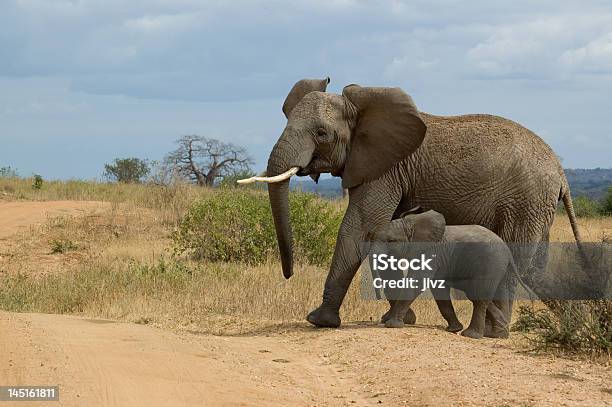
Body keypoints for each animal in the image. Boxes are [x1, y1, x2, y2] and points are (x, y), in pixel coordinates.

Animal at [368, 210, 516, 342]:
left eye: (391, 241)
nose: (378, 298)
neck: (411, 223)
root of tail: (508, 251)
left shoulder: (430, 253)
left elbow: (418, 282)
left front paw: (392, 325)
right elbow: (439, 291)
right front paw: (454, 329)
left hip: (490, 263)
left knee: (479, 297)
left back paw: (472, 335)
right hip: (499, 267)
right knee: (497, 295)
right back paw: (498, 334)